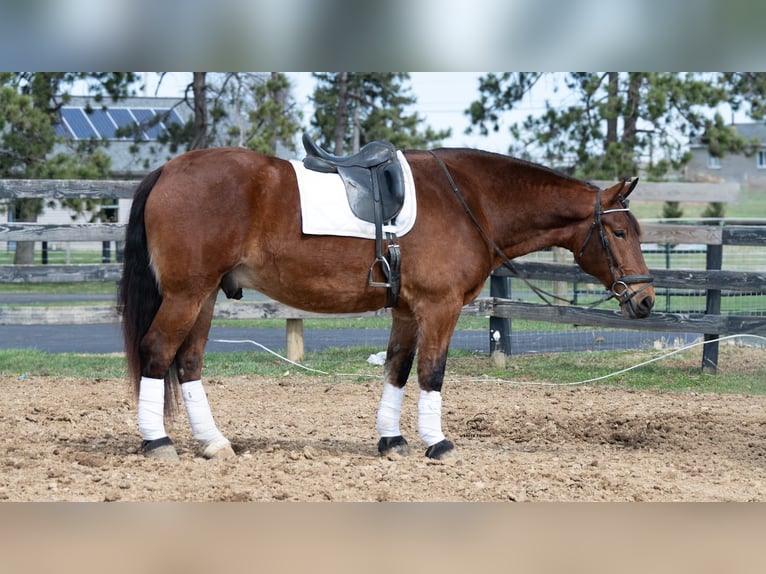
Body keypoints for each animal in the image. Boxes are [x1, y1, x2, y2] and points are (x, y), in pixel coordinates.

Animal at [118, 144, 655, 461]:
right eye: (620, 232)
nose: (646, 299)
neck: (469, 202)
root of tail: (167, 169)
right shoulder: (440, 308)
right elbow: (432, 372)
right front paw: (438, 443)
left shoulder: (406, 311)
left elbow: (397, 369)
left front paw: (392, 440)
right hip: (187, 294)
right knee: (158, 352)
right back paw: (158, 442)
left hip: (205, 295)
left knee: (188, 361)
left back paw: (213, 443)